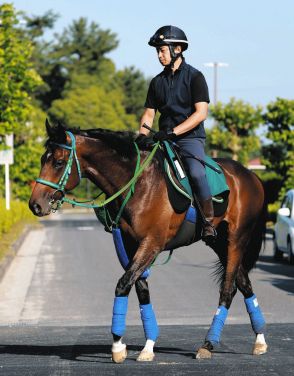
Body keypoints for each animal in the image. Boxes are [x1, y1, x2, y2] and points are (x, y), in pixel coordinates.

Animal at [28, 122, 268, 362]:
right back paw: (259, 340)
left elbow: (123, 285)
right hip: (219, 244)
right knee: (244, 284)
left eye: (58, 162)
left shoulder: (152, 243)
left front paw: (117, 346)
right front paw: (148, 346)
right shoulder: (130, 244)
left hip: (236, 240)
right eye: (42, 159)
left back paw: (208, 344)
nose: (35, 204)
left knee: (228, 289)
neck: (139, 184)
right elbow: (141, 290)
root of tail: (251, 175)